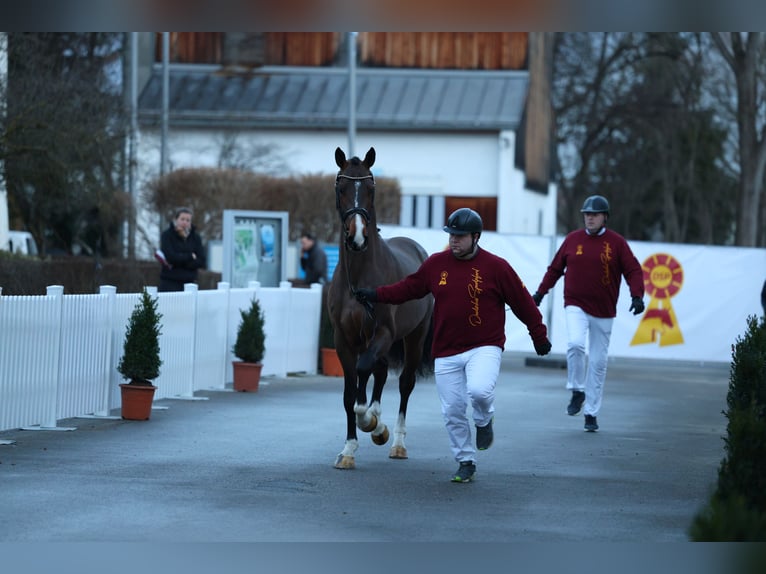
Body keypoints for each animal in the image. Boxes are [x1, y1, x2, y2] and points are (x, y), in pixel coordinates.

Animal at [328, 146, 432, 470]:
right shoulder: (344, 339)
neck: (360, 277)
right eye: (340, 186)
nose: (357, 236)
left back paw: (396, 441)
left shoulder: (383, 332)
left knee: (404, 383)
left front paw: (372, 422)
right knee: (381, 371)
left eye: (371, 188)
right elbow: (350, 393)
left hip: (413, 338)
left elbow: (363, 375)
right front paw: (348, 450)